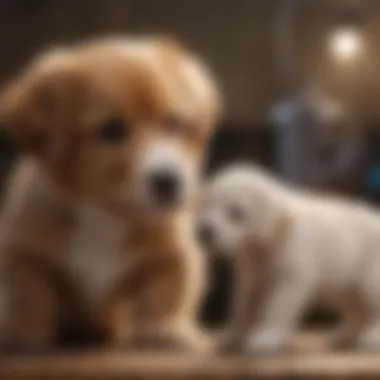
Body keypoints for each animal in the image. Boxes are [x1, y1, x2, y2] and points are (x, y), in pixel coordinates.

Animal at [0, 35, 220, 354]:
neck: (105, 214)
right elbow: (27, 297)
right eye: (111, 130)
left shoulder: (173, 253)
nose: (169, 180)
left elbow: (168, 296)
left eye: (175, 123)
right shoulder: (23, 251)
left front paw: (167, 332)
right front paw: (21, 336)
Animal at [197, 165, 380, 354]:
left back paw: (372, 337)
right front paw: (232, 337)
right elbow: (245, 303)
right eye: (207, 204)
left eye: (236, 212)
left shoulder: (291, 267)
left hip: (370, 272)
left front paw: (265, 339)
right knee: (354, 306)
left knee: (372, 301)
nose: (205, 232)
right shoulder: (254, 272)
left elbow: (278, 304)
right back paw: (345, 335)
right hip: (345, 283)